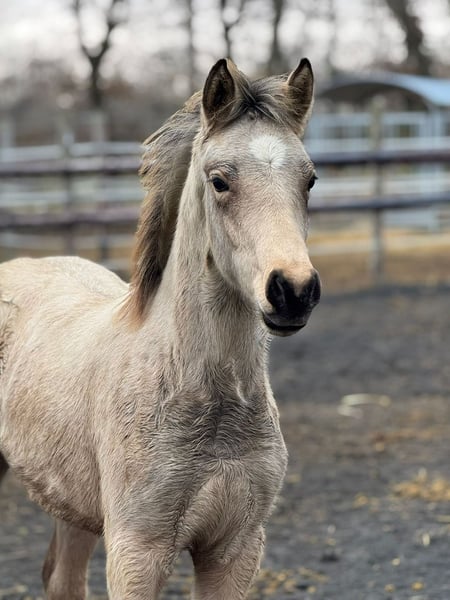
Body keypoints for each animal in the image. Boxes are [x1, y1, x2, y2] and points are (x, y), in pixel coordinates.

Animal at [0, 57, 320, 599]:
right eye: (219, 181)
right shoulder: (136, 550)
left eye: (310, 180)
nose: (293, 290)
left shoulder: (235, 549)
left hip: (73, 504)